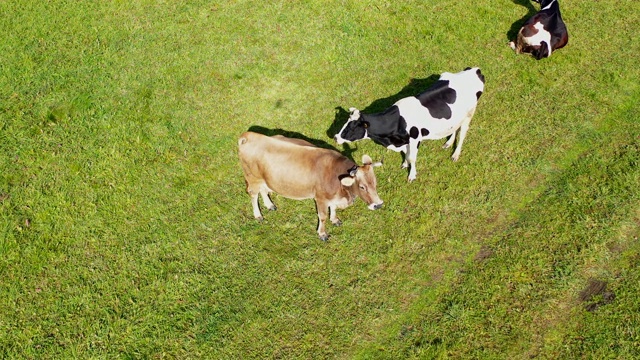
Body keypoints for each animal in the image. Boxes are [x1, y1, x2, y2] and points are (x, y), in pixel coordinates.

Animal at [238, 131, 382, 240]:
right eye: (362, 187)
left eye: (375, 182)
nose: (378, 205)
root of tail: (248, 135)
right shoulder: (321, 198)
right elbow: (322, 217)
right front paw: (322, 234)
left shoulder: (332, 196)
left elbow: (333, 208)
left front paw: (334, 220)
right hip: (252, 178)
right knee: (253, 195)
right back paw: (258, 215)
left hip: (264, 178)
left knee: (263, 190)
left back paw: (269, 205)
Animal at [336, 67, 484, 183]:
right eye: (346, 122)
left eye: (352, 127)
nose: (336, 137)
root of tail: (474, 70)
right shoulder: (404, 140)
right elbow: (406, 154)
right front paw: (404, 164)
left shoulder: (415, 138)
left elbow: (412, 157)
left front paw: (412, 175)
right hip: (456, 116)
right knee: (455, 128)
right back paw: (448, 143)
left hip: (470, 113)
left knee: (463, 132)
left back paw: (456, 154)